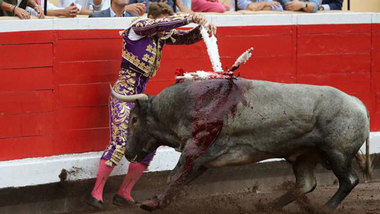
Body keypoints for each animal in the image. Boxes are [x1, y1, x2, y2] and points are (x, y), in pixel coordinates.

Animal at [109, 77, 368, 211]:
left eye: (133, 120)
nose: (129, 154)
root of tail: (357, 103)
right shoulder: (202, 159)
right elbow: (181, 179)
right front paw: (158, 201)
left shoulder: (196, 149)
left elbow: (175, 175)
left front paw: (152, 202)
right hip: (304, 156)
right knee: (306, 184)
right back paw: (268, 206)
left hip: (337, 153)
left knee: (349, 180)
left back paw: (326, 208)